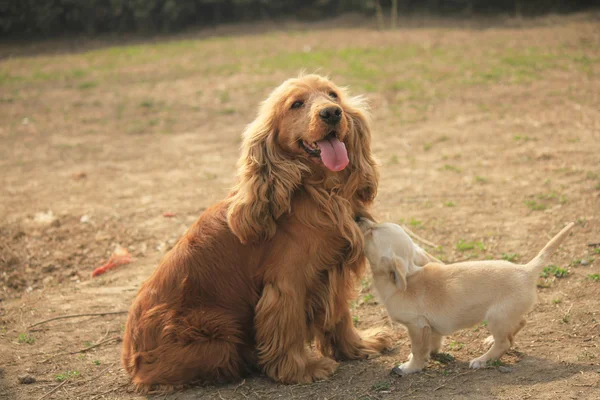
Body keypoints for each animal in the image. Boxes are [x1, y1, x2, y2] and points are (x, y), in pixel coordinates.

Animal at [358, 219, 576, 376]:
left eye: (371, 232)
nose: (359, 217)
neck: (408, 276)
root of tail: (526, 270)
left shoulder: (416, 326)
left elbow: (418, 350)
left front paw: (410, 367)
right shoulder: (429, 326)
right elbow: (433, 342)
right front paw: (433, 353)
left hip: (496, 317)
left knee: (504, 343)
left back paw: (482, 360)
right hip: (505, 316)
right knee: (519, 324)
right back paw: (491, 341)